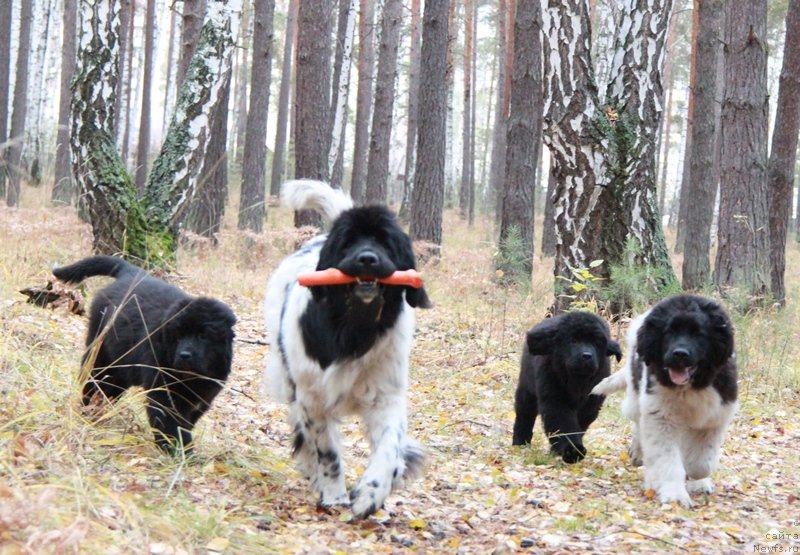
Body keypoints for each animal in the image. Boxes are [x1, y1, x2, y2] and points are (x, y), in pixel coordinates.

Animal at [51, 255, 234, 452]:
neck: (191, 377)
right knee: (93, 382)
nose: (184, 355)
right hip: (102, 355)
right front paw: (178, 450)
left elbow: (186, 422)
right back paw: (87, 411)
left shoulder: (203, 396)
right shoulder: (163, 391)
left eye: (203, 336)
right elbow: (170, 423)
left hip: (121, 369)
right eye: (178, 335)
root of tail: (129, 273)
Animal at [264, 179, 432, 520]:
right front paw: (333, 495)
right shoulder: (312, 399)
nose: (367, 258)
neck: (356, 328)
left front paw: (372, 492)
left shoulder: (386, 396)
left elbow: (389, 447)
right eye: (348, 242)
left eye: (385, 241)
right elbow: (327, 451)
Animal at [512, 312, 624, 464]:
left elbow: (581, 423)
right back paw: (520, 443)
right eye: (573, 340)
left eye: (596, 343)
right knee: (524, 414)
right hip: (527, 388)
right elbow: (563, 423)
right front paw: (571, 451)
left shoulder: (592, 403)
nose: (587, 356)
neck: (577, 380)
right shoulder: (556, 399)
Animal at [592, 296, 736, 508]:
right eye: (669, 332)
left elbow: (701, 462)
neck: (688, 387)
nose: (680, 353)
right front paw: (674, 494)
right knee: (638, 423)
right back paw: (639, 455)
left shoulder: (714, 416)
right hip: (636, 395)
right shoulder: (660, 416)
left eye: (698, 334)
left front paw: (696, 478)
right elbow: (668, 460)